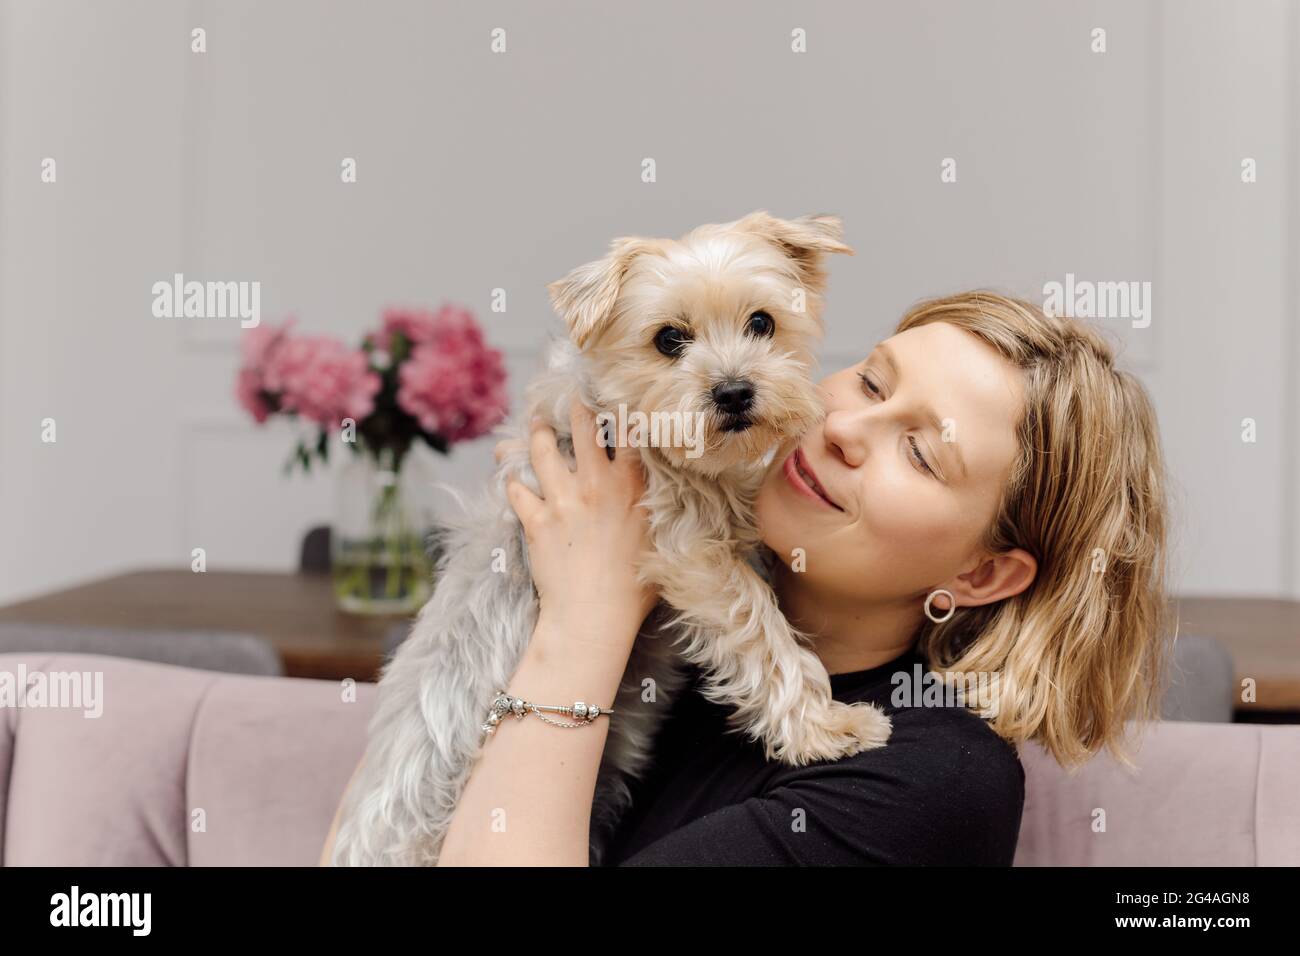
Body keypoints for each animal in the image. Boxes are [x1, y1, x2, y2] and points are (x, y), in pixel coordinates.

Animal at [330, 210, 889, 868]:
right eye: (668, 339)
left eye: (762, 323)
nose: (734, 392)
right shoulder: (686, 549)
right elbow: (764, 632)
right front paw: (829, 728)